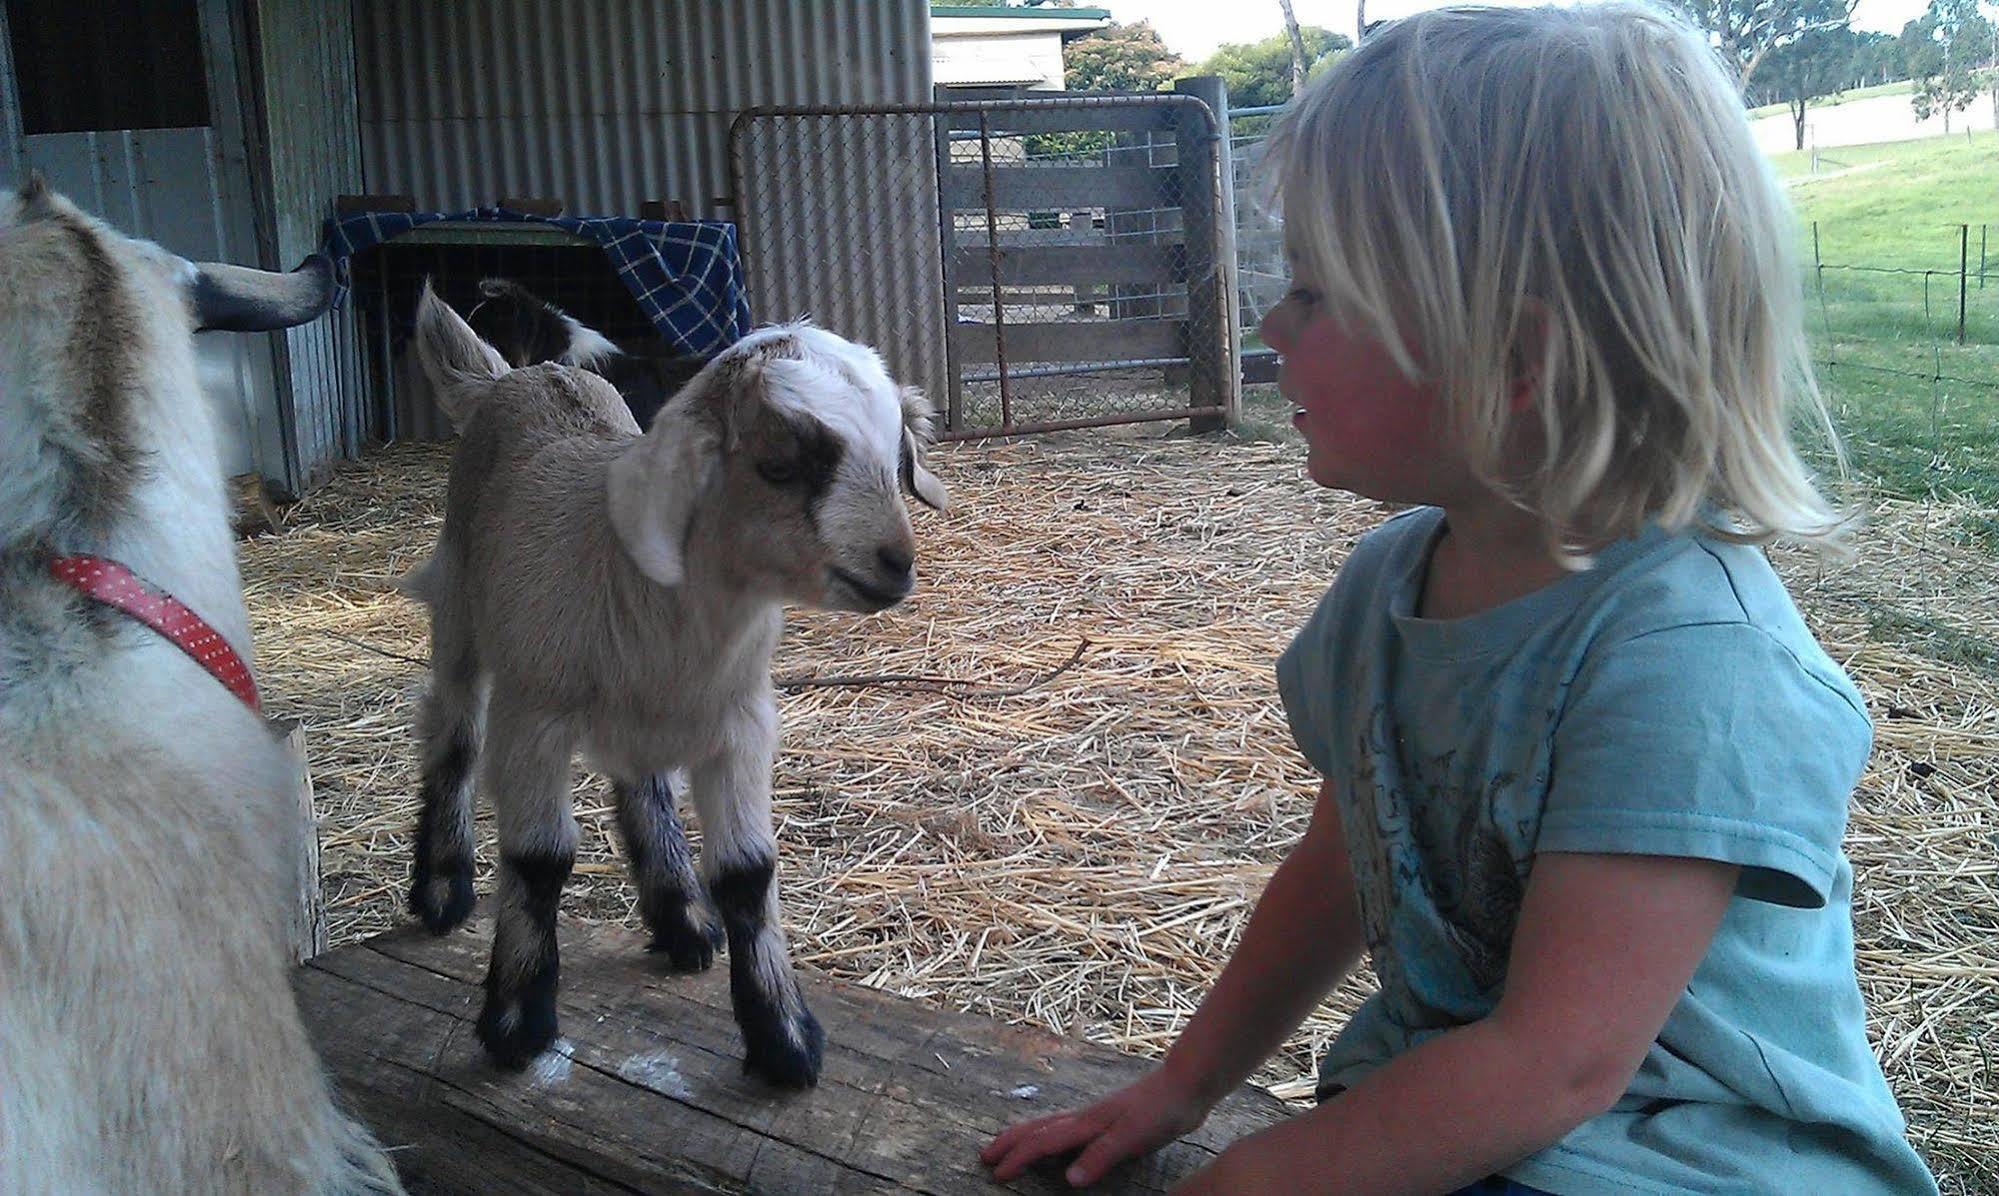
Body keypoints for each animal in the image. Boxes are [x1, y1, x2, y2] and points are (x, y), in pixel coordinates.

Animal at [401, 286, 947, 1096]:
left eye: (896, 456)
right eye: (779, 465)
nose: (895, 563)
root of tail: (518, 375)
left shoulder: (740, 724)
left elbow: (749, 872)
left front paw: (783, 1037)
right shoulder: (534, 718)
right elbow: (539, 860)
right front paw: (517, 1020)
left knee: (641, 779)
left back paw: (680, 913)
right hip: (462, 604)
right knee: (454, 730)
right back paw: (441, 888)